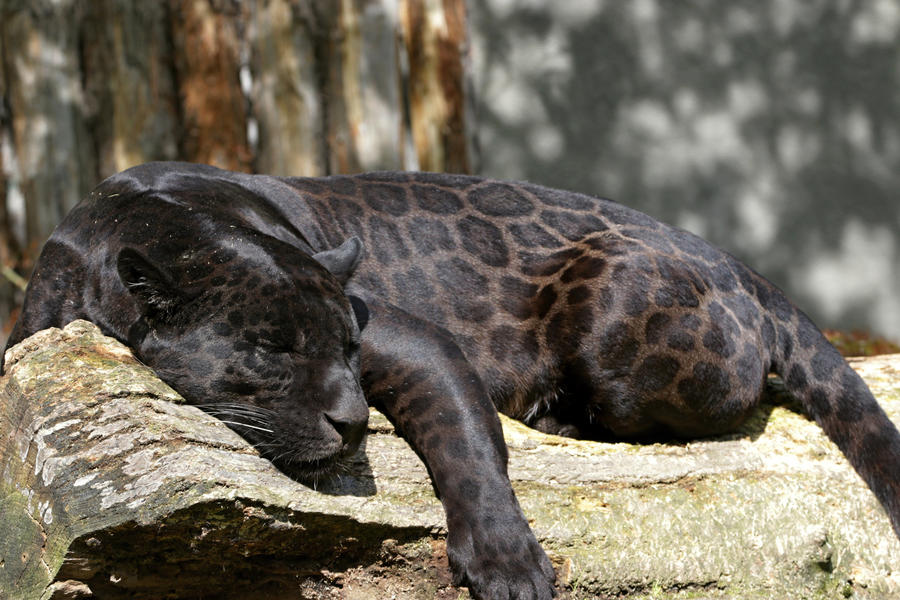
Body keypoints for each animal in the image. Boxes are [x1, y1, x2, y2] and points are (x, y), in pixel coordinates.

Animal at [4, 161, 899, 600]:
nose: (353, 421)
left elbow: (468, 442)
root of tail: (740, 264)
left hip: (615, 310)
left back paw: (556, 413)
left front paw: (505, 562)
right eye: (271, 351)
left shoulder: (411, 339)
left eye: (345, 348)